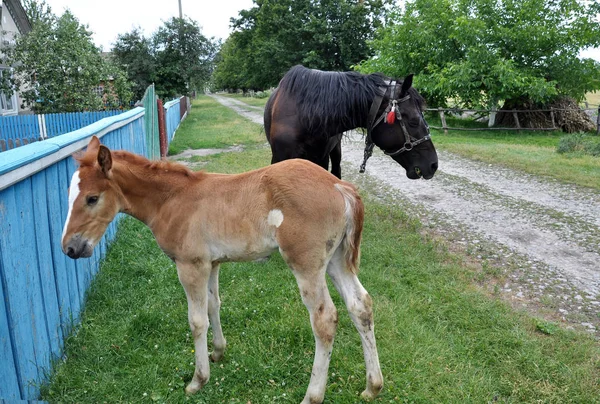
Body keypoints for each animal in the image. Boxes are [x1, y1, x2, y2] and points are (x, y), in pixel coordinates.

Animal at [59, 137, 380, 402]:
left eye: (92, 198)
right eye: (69, 195)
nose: (70, 248)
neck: (172, 200)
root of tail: (340, 186)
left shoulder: (190, 266)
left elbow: (197, 320)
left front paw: (197, 380)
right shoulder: (211, 264)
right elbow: (214, 306)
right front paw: (218, 352)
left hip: (306, 265)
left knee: (325, 319)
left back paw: (312, 396)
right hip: (337, 261)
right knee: (360, 305)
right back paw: (372, 386)